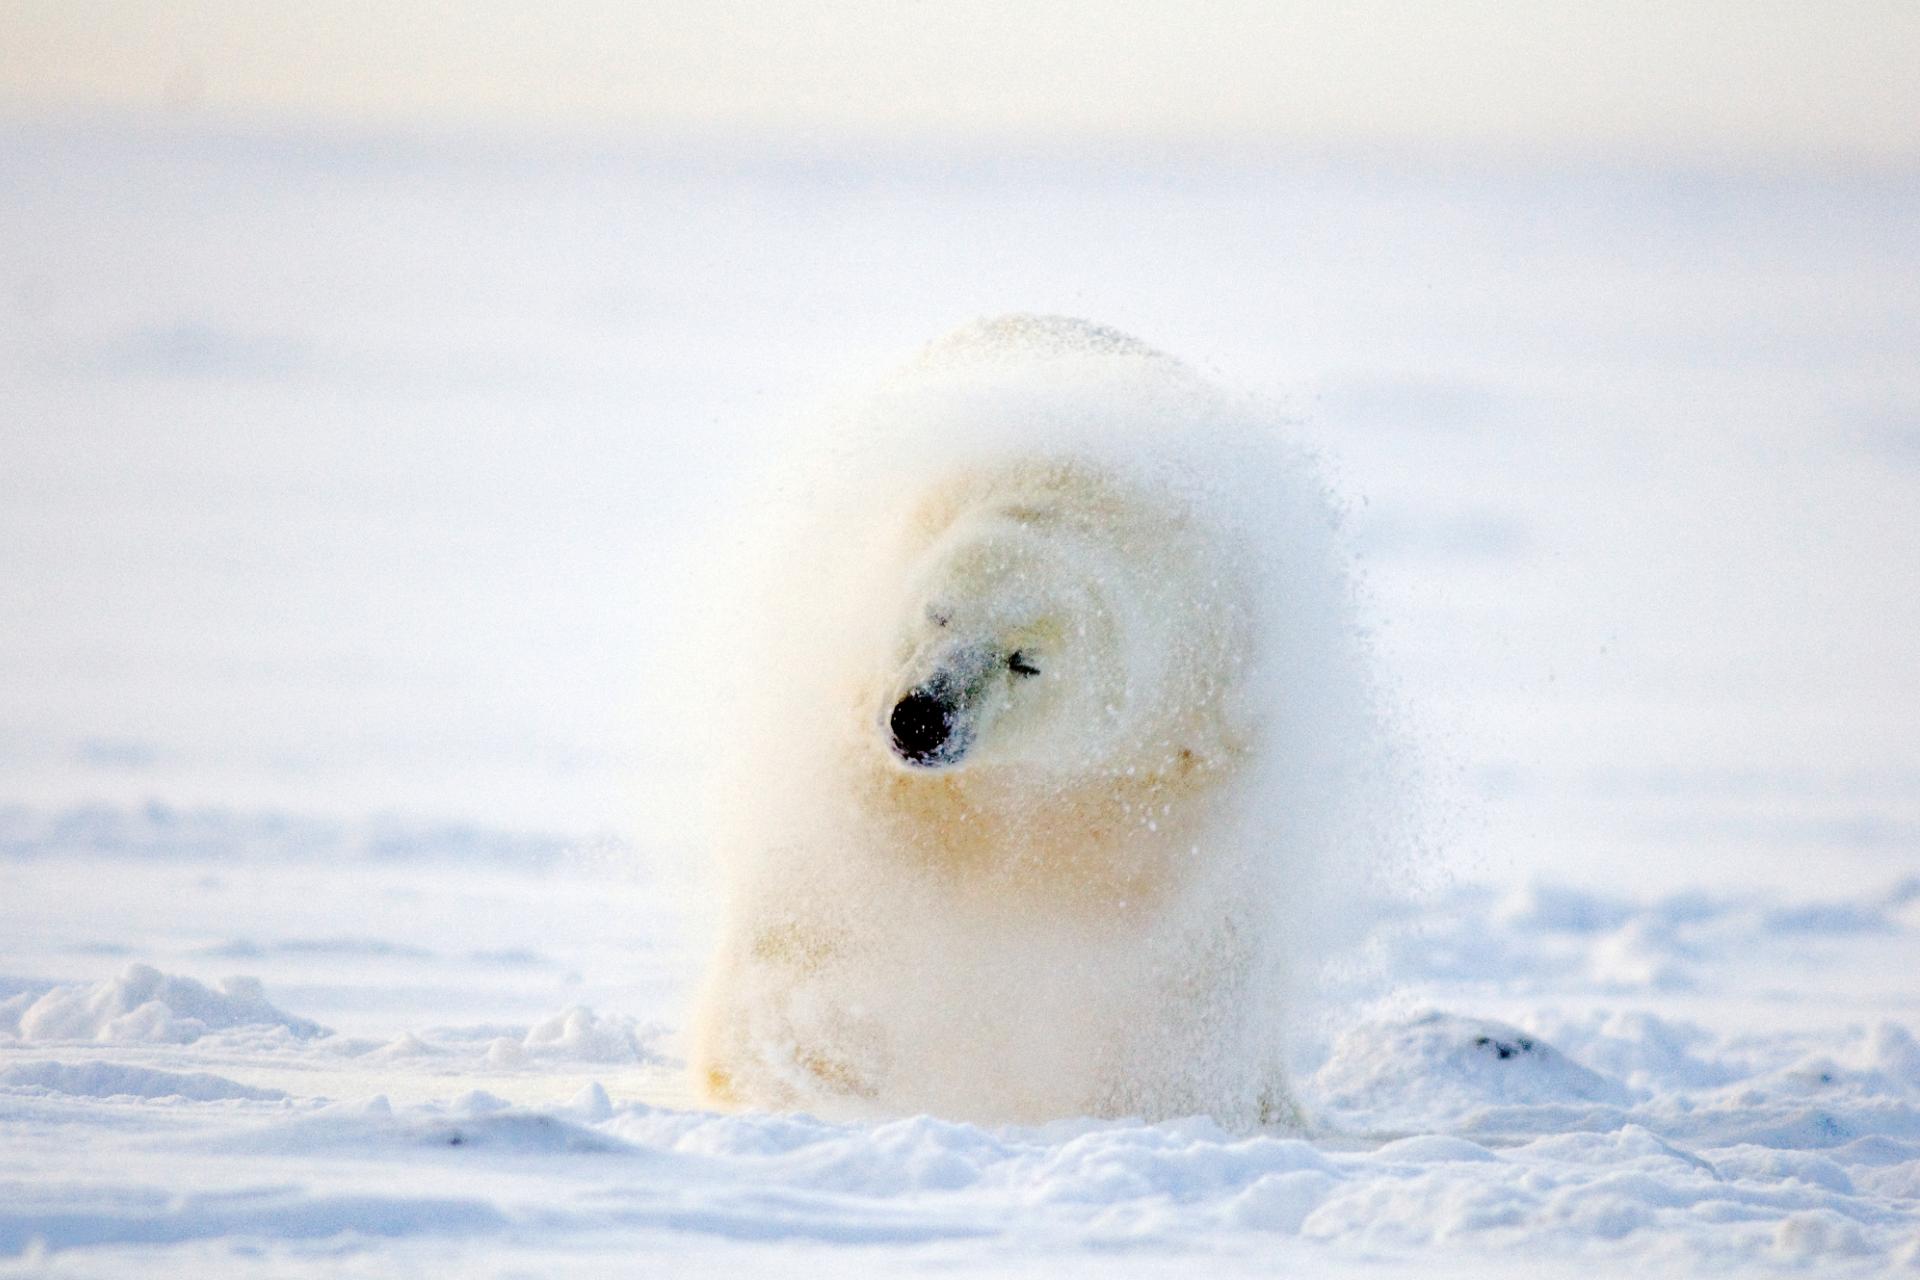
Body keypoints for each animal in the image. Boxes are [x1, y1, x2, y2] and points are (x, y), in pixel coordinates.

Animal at [690, 315, 1367, 1128]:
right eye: (937, 612)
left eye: (1025, 661)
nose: (923, 718)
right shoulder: (852, 698)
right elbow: (823, 885)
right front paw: (812, 1051)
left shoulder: (1189, 744)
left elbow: (1179, 947)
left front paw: (1158, 1098)